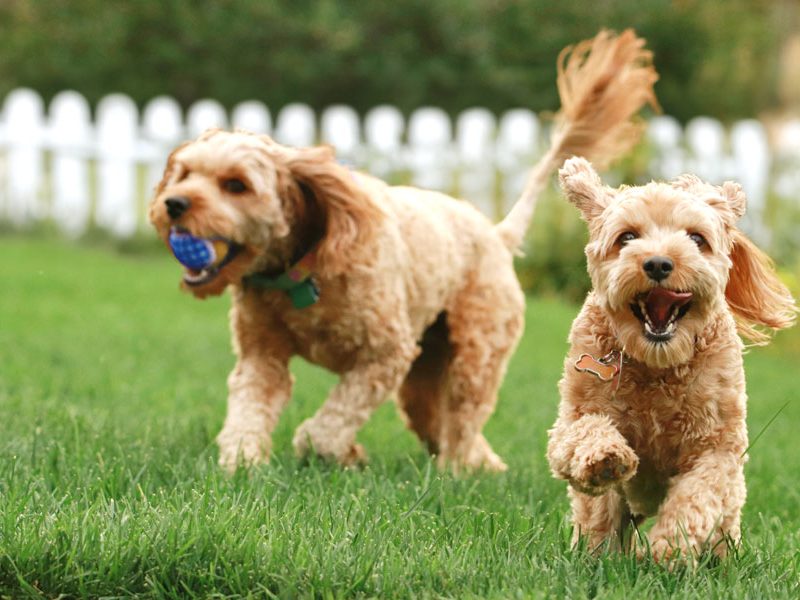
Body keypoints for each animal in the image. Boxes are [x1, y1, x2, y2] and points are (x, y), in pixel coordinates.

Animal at [148, 30, 656, 474]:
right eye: (184, 173)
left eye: (236, 185)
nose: (172, 204)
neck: (301, 271)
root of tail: (496, 234)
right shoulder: (262, 356)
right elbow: (249, 410)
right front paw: (242, 464)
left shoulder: (385, 354)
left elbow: (326, 426)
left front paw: (334, 450)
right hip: (424, 372)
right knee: (439, 420)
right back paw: (481, 465)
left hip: (475, 353)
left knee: (463, 417)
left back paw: (459, 470)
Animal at [548, 157, 796, 560]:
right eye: (627, 237)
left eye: (696, 239)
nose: (659, 263)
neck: (657, 364)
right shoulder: (571, 418)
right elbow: (584, 432)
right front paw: (606, 457)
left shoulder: (718, 446)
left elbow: (698, 494)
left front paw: (670, 546)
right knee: (599, 518)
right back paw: (596, 555)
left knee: (723, 524)